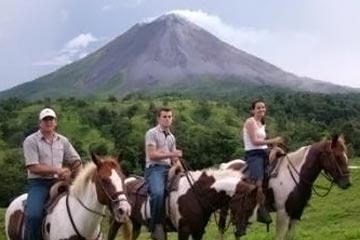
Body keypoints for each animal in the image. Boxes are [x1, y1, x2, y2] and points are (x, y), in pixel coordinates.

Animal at [106, 167, 258, 240]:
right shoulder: (184, 230)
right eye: (247, 207)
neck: (196, 194)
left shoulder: (198, 231)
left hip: (136, 223)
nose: (241, 232)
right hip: (117, 221)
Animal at [219, 135, 352, 240]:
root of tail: (225, 166)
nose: (347, 183)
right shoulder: (283, 213)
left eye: (346, 155)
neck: (296, 176)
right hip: (224, 208)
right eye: (337, 156)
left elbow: (290, 236)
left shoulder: (297, 213)